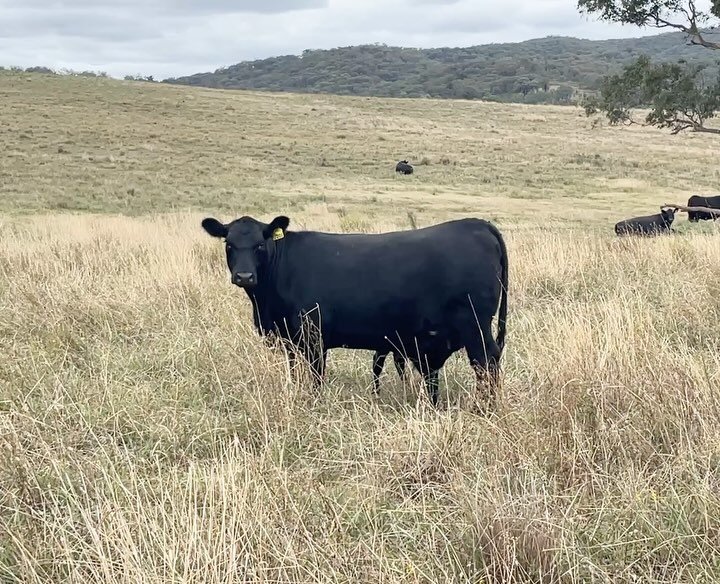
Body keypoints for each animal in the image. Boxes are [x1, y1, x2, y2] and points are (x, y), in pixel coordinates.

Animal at [201, 214, 509, 408]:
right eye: (229, 244)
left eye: (259, 245)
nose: (244, 276)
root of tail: (478, 224)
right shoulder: (289, 339)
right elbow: (295, 372)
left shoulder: (313, 336)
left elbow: (316, 376)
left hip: (475, 326)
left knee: (486, 363)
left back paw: (483, 408)